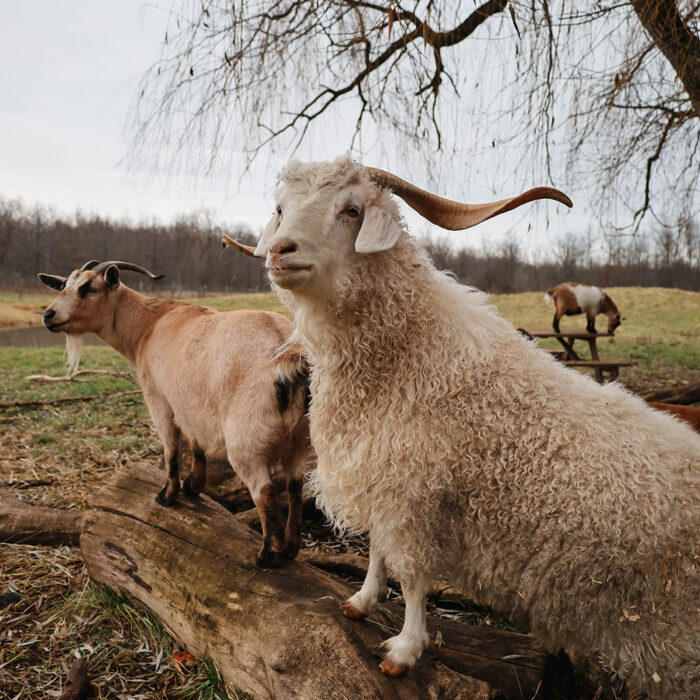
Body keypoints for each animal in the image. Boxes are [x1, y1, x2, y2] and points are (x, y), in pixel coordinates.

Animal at [38, 260, 312, 568]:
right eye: (64, 285)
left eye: (88, 287)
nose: (48, 315)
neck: (150, 324)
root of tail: (289, 357)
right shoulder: (190, 405)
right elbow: (196, 443)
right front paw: (193, 486)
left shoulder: (159, 399)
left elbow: (171, 449)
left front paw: (166, 495)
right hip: (301, 440)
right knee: (295, 486)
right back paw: (290, 549)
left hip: (246, 439)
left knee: (264, 490)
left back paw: (268, 554)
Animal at [226, 156, 700, 696]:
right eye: (281, 208)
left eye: (351, 209)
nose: (281, 251)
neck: (411, 356)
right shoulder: (383, 480)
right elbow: (378, 551)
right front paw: (361, 602)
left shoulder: (416, 494)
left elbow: (413, 576)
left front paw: (405, 651)